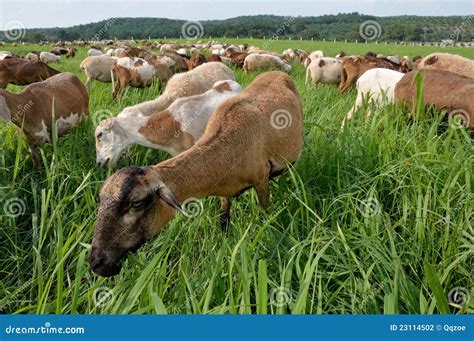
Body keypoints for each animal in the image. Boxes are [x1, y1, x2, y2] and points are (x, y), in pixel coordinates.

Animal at [89, 71, 304, 276]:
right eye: (100, 199)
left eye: (136, 203)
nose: (95, 262)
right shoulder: (223, 188)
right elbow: (224, 218)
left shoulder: (260, 181)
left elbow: (263, 217)